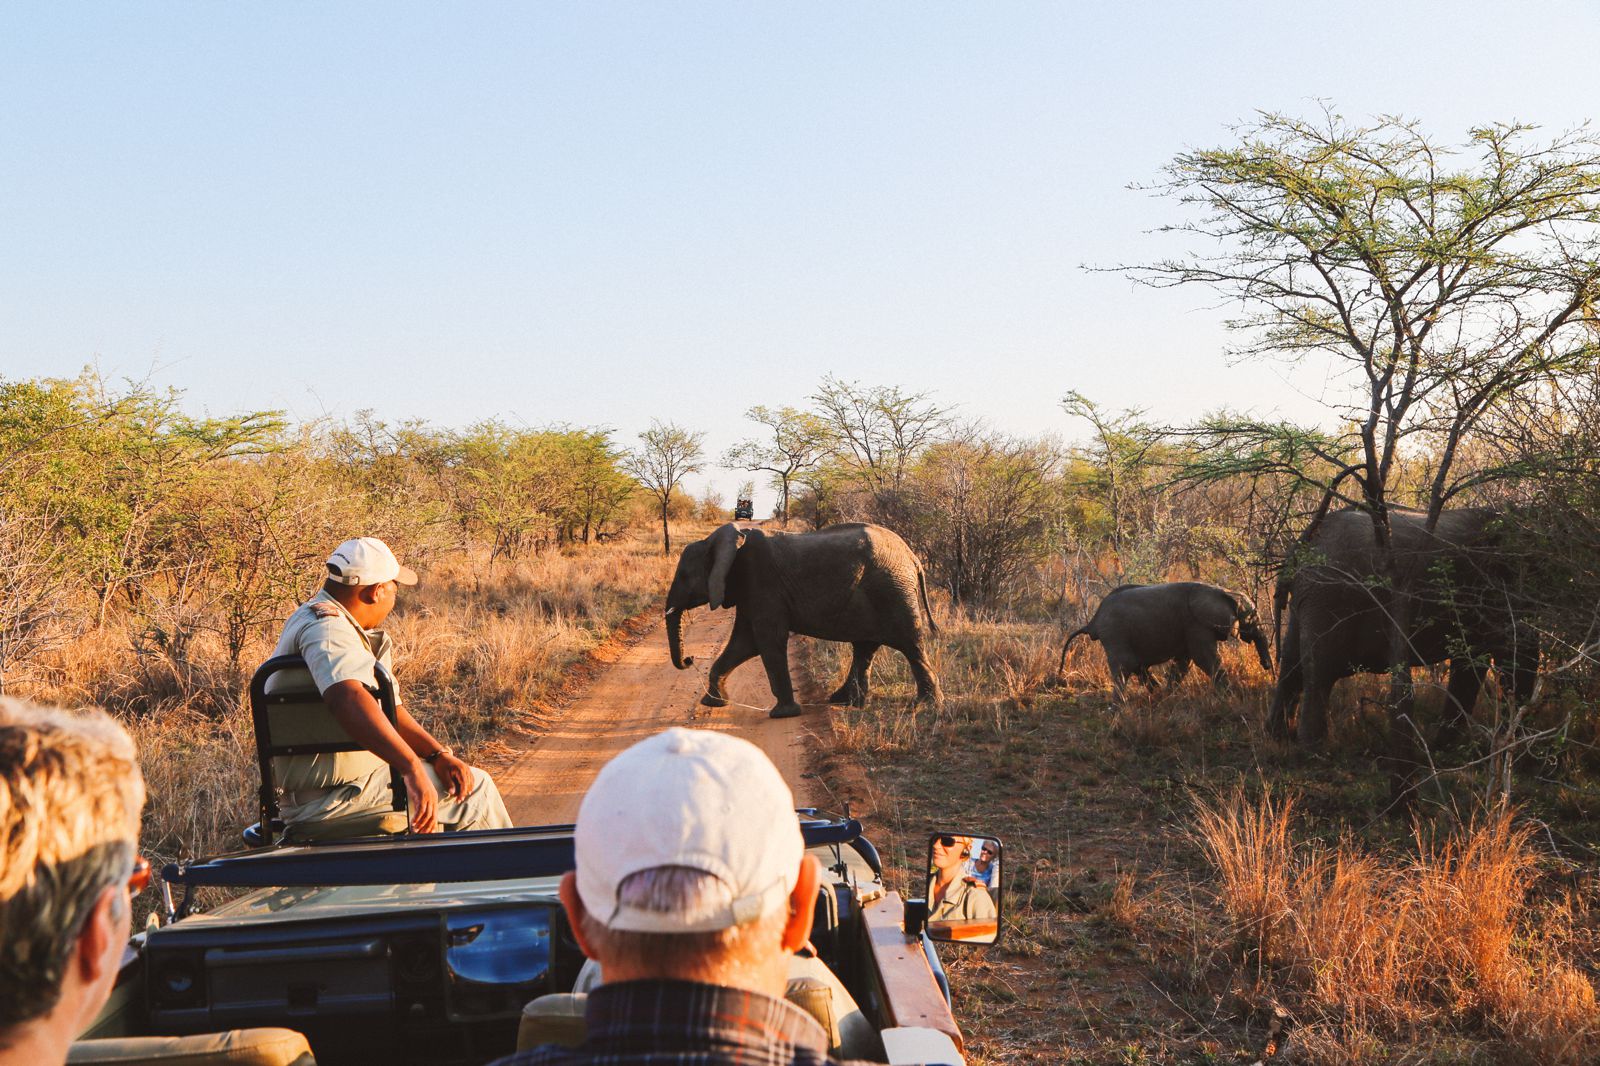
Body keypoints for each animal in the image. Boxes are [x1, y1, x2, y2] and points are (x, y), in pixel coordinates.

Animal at [665, 521, 940, 717]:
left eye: (684, 576)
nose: (689, 659)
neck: (726, 543)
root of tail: (913, 557)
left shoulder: (762, 582)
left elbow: (767, 640)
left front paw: (783, 714)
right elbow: (745, 643)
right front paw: (714, 702)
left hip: (892, 590)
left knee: (910, 644)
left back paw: (925, 706)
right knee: (864, 646)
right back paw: (846, 701)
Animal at [1062, 582, 1273, 688]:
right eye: (1252, 618)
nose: (1267, 667)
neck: (1223, 591)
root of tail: (1093, 620)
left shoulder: (1190, 627)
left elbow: (1184, 662)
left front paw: (1169, 694)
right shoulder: (1196, 623)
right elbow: (1204, 658)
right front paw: (1230, 692)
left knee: (1137, 665)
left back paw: (1156, 691)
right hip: (1114, 632)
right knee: (1125, 665)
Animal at [1260, 505, 1536, 745]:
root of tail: (1304, 543)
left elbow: (1471, 665)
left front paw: (1442, 746)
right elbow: (1515, 658)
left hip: (1309, 599)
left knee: (1292, 664)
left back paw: (1278, 737)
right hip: (1329, 595)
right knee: (1320, 671)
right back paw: (1313, 748)